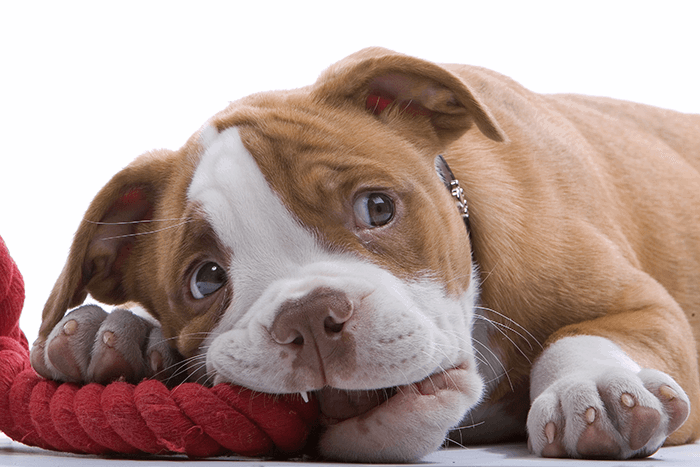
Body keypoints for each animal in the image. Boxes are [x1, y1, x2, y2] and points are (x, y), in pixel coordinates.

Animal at [30, 46, 696, 460]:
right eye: (206, 280)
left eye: (376, 209)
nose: (307, 315)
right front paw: (117, 331)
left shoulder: (646, 308)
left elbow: (581, 334)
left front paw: (599, 386)